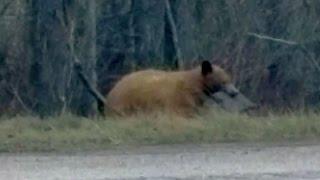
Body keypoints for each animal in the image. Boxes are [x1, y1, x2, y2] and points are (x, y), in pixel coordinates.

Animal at [106, 60, 239, 116]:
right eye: (224, 81)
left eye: (230, 79)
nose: (235, 92)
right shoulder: (180, 97)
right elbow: (181, 111)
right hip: (128, 102)